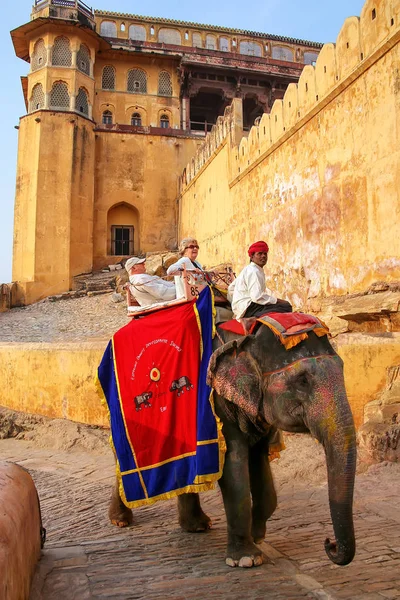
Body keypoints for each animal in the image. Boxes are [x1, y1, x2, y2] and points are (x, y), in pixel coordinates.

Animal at [108, 322, 354, 568]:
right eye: (302, 381)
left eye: (343, 368)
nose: (329, 543)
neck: (246, 336)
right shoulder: (217, 401)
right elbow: (234, 462)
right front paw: (246, 559)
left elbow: (260, 464)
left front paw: (257, 536)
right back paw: (121, 521)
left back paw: (196, 526)